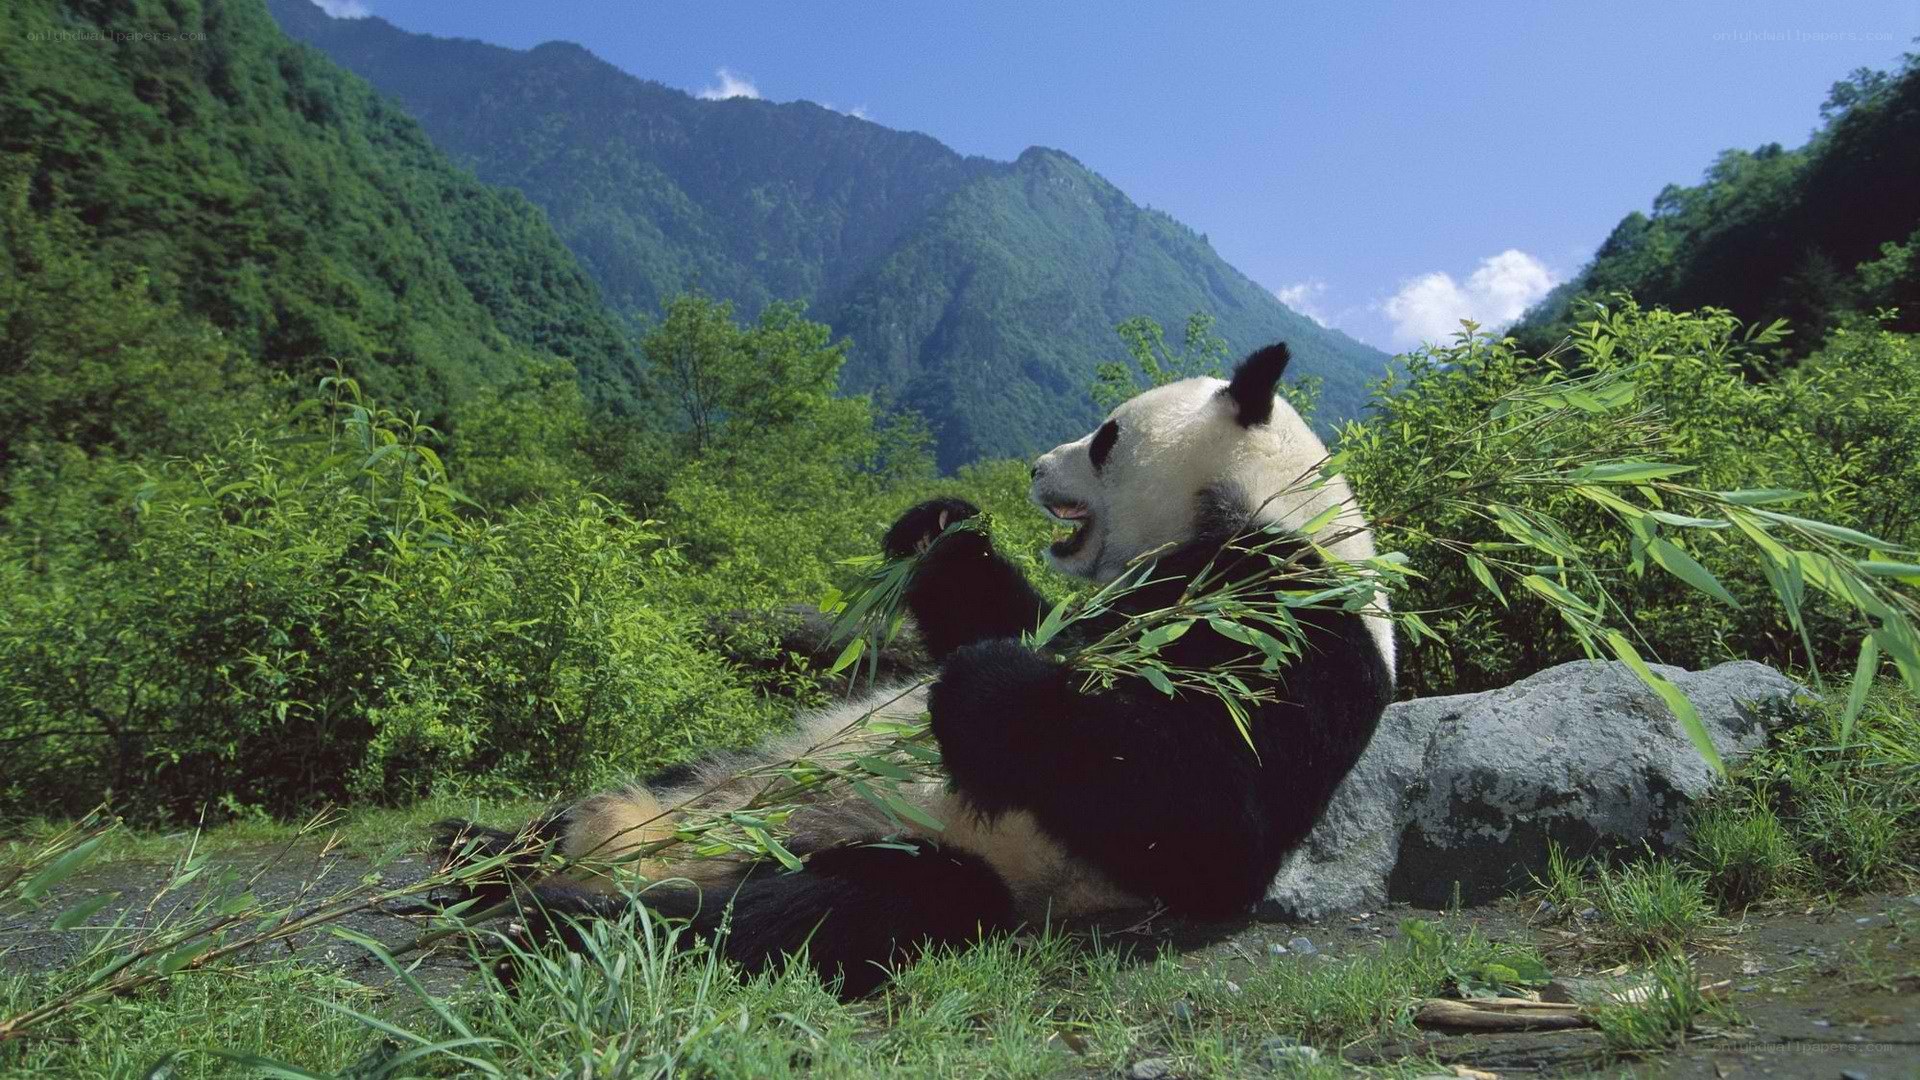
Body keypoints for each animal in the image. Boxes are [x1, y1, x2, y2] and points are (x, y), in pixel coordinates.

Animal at [441, 342, 1395, 996]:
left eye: (1106, 437)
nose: (1035, 466)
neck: (1259, 508)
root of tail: (655, 845)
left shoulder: (1296, 621)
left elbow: (1210, 821)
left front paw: (988, 688)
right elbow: (1012, 613)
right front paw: (939, 525)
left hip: (926, 850)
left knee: (825, 910)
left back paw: (567, 921)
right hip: (731, 765)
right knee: (622, 800)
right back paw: (481, 850)